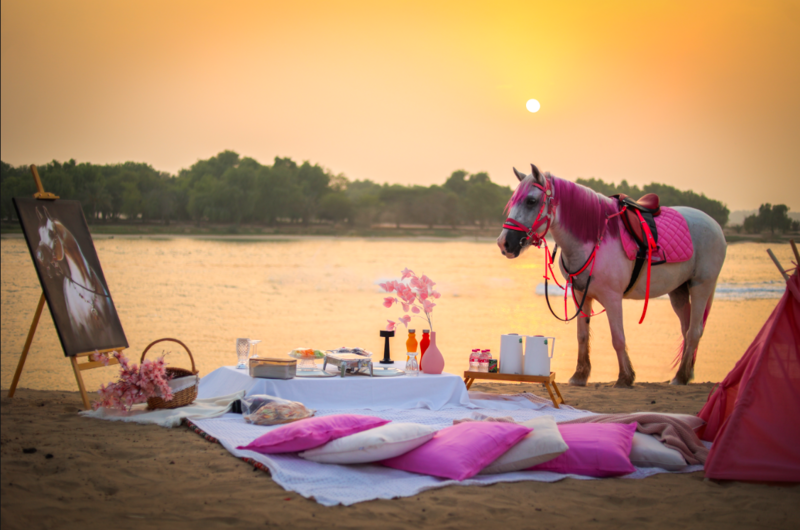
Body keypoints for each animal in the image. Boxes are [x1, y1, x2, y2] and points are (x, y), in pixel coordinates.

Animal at [497, 165, 726, 387]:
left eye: (531, 201)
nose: (504, 243)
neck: (594, 239)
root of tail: (715, 225)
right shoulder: (580, 294)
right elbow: (582, 335)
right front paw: (580, 375)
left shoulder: (612, 298)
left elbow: (618, 338)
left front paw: (625, 377)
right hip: (678, 291)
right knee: (687, 329)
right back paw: (685, 374)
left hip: (701, 286)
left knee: (694, 331)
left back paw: (680, 376)